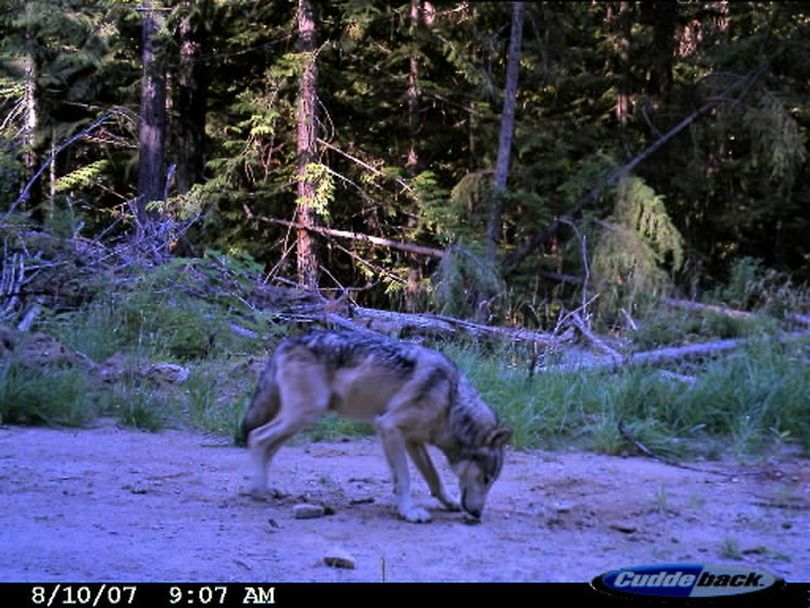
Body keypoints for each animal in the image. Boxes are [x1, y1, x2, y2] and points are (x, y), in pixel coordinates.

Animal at [240, 328, 508, 524]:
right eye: (486, 479)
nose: (478, 515)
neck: (450, 401)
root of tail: (286, 343)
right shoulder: (388, 427)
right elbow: (405, 478)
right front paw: (409, 512)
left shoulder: (412, 441)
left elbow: (434, 478)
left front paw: (449, 502)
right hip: (302, 416)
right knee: (257, 437)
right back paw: (259, 491)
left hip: (297, 422)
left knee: (268, 447)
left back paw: (267, 487)